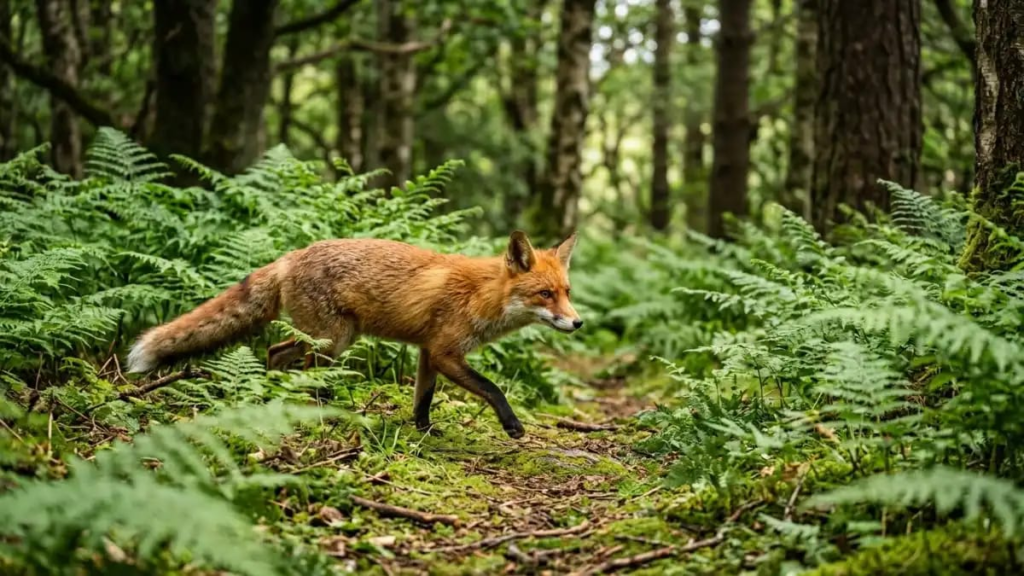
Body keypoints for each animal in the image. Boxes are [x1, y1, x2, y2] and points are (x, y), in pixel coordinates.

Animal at [125, 230, 582, 438]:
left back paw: (272, 396)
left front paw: (423, 429)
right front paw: (512, 425)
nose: (577, 322)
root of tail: (291, 255)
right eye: (545, 294)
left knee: (275, 352)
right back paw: (316, 409)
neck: (483, 294)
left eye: (567, 292)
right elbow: (492, 388)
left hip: (326, 338)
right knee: (302, 367)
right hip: (334, 339)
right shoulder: (446, 351)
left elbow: (424, 396)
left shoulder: (427, 352)